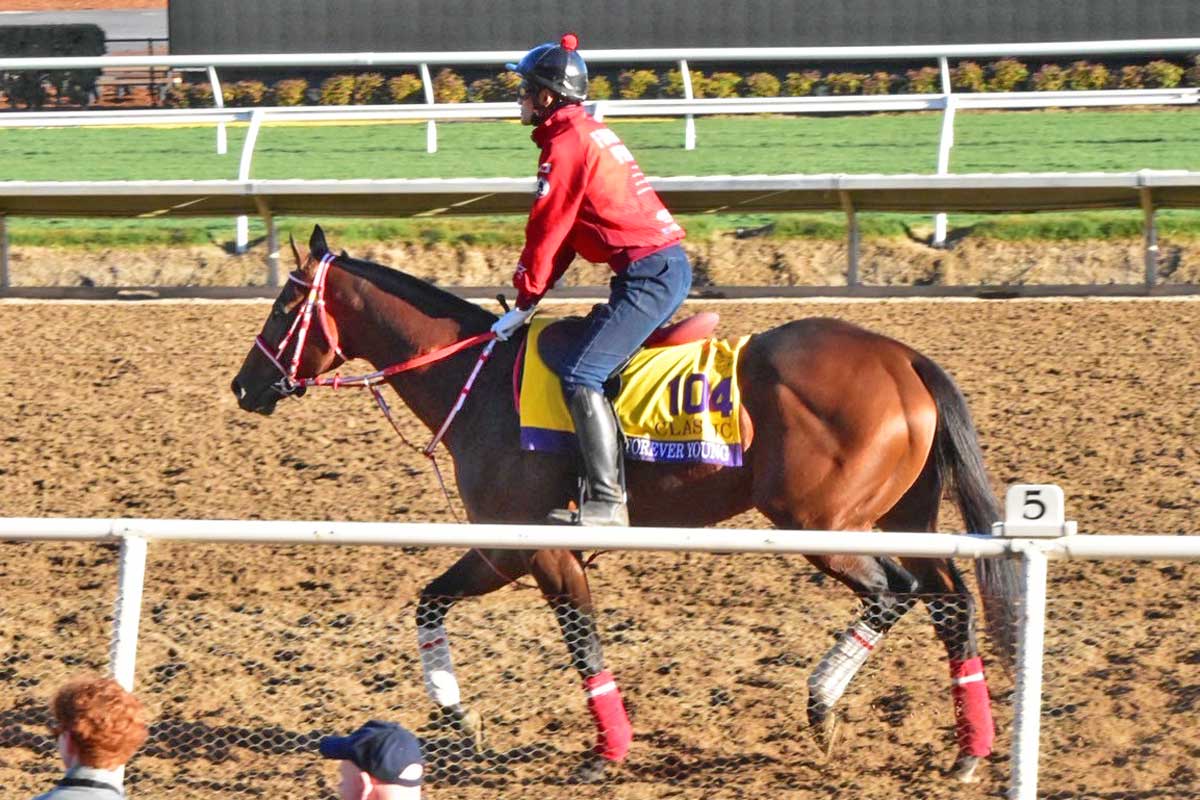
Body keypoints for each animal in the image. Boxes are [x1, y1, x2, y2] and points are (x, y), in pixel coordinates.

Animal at [231, 225, 1020, 784]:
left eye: (285, 303)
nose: (244, 386)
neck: (476, 380)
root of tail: (901, 358)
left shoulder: (543, 551)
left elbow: (584, 643)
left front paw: (606, 752)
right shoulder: (503, 547)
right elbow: (430, 602)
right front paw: (459, 716)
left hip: (820, 523)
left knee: (897, 591)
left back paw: (824, 707)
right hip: (899, 517)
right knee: (949, 600)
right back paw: (968, 750)